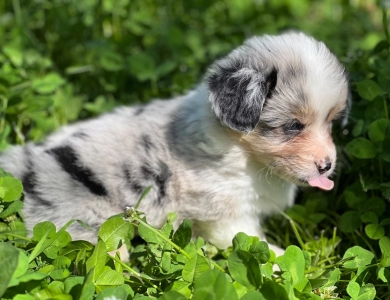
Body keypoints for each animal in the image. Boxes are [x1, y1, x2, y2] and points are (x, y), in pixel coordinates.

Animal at [0, 32, 348, 255]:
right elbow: (252, 241)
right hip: (87, 224)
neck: (244, 153)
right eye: (293, 126)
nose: (327, 165)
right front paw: (279, 259)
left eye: (331, 122)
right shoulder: (224, 214)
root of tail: (27, 166)